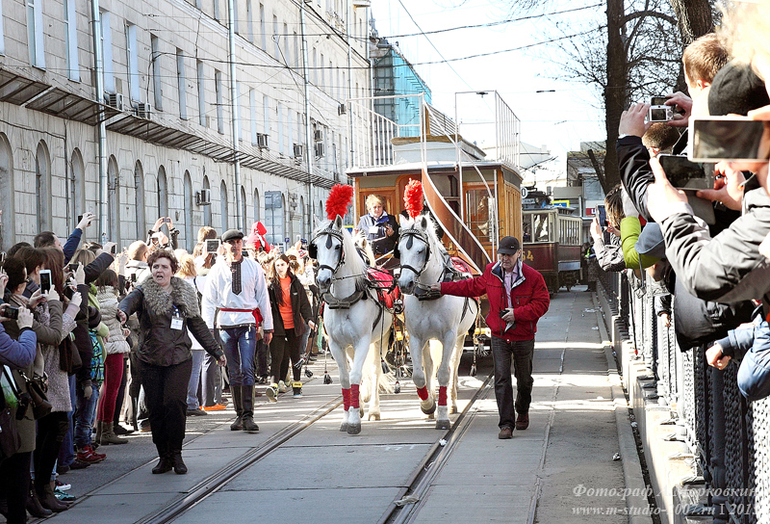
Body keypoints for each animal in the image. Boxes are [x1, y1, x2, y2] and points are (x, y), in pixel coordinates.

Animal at [311, 215, 394, 434]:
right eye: (316, 247)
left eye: (337, 246)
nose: (323, 279)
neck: (343, 300)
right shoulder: (337, 345)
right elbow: (346, 379)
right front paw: (348, 416)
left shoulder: (363, 341)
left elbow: (357, 375)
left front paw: (355, 421)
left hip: (380, 339)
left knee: (375, 370)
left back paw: (373, 409)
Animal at [397, 214, 479, 430]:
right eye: (399, 250)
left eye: (420, 250)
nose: (405, 284)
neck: (429, 294)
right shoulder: (415, 337)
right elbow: (419, 375)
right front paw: (428, 405)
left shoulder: (449, 336)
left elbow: (444, 372)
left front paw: (442, 415)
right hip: (429, 339)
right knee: (430, 365)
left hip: (459, 336)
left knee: (453, 365)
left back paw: (452, 402)